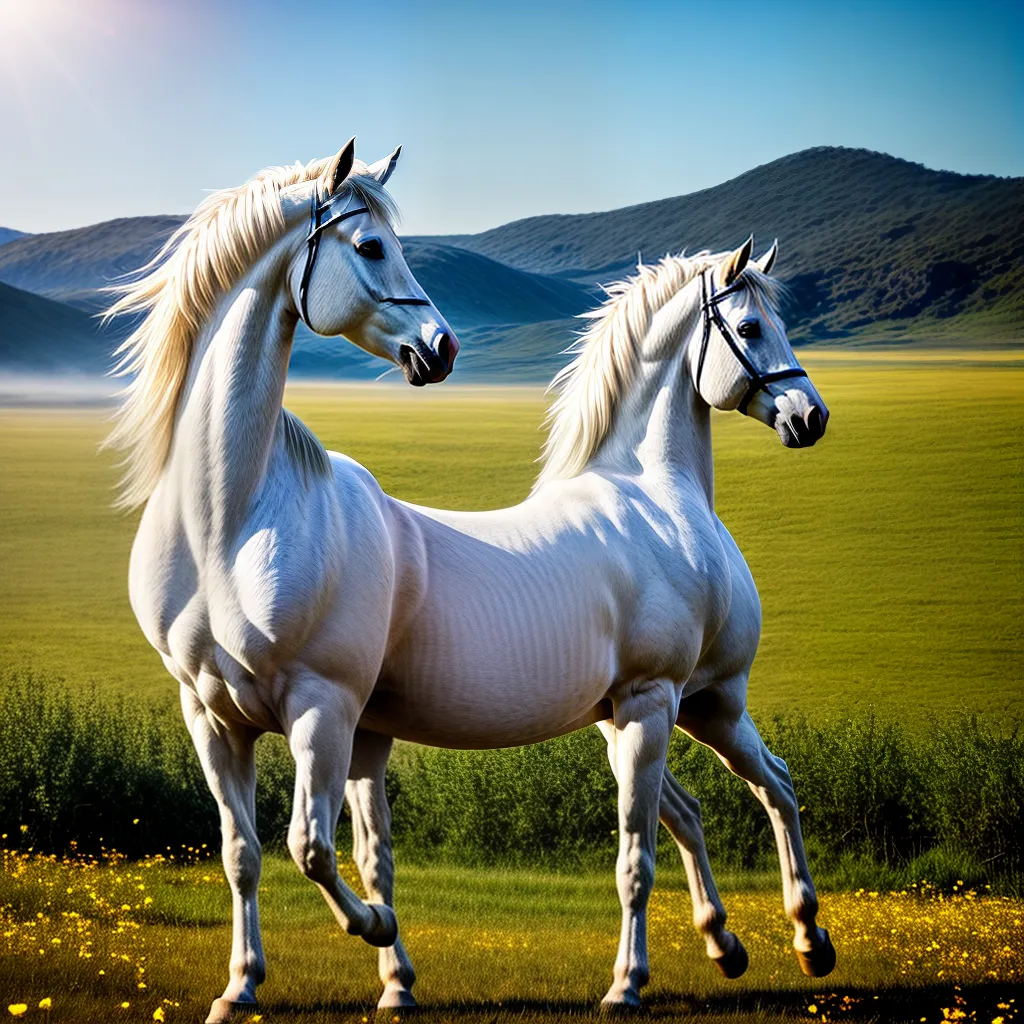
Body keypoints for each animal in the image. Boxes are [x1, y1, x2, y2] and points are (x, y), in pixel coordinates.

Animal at [112, 137, 834, 1015]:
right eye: (370, 246)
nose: (809, 416)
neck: (234, 520)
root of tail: (678, 507)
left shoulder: (324, 708)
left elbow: (312, 848)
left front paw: (380, 932)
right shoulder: (214, 718)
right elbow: (248, 854)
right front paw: (245, 987)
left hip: (692, 704)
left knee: (768, 791)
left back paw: (793, 942)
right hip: (636, 718)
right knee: (697, 811)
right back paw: (727, 944)